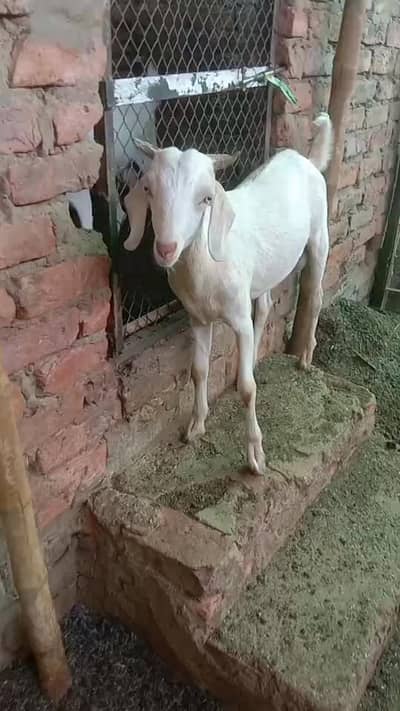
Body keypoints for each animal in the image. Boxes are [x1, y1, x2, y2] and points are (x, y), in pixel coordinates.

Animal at [123, 113, 333, 475]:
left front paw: (256, 457)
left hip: (320, 235)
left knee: (315, 294)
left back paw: (306, 357)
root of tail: (305, 160)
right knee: (264, 306)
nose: (166, 249)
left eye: (207, 198)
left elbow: (249, 391)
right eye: (148, 189)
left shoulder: (237, 316)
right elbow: (199, 370)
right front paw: (195, 427)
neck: (206, 267)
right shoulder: (197, 318)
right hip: (261, 276)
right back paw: (253, 361)